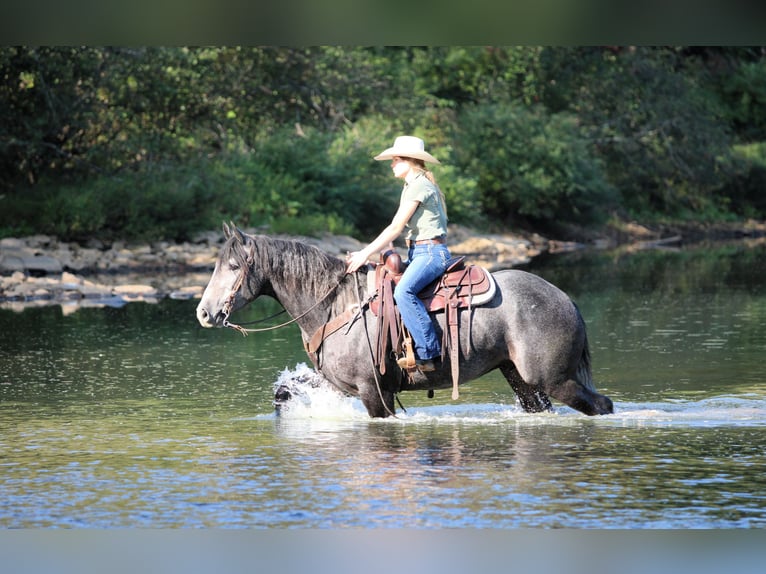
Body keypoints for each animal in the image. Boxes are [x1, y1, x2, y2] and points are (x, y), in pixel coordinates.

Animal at [196, 224, 614, 418]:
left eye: (233, 266)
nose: (203, 312)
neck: (337, 306)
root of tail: (565, 299)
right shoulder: (341, 382)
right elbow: (291, 387)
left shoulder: (373, 392)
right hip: (522, 379)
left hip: (554, 379)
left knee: (602, 405)